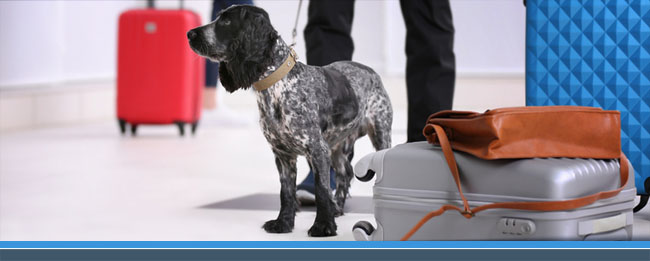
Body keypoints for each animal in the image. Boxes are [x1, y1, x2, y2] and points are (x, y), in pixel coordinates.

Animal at [187, 4, 390, 236]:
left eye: (226, 21)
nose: (189, 34)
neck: (278, 87)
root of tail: (371, 71)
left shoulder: (317, 150)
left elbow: (321, 190)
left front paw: (323, 225)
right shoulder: (283, 155)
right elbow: (286, 193)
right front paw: (283, 223)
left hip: (380, 133)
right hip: (336, 147)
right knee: (344, 174)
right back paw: (337, 207)